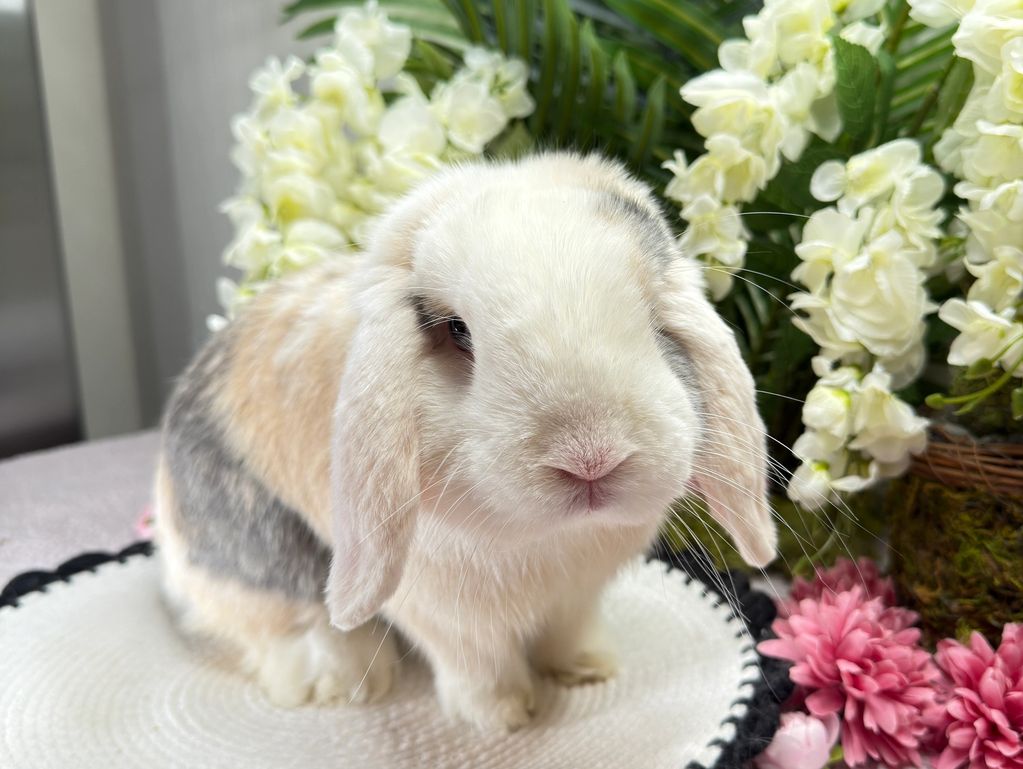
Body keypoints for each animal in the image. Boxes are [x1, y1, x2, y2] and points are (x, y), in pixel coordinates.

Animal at [154, 151, 777, 732]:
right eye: (457, 330)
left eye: (650, 316)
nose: (590, 458)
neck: (551, 539)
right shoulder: (447, 618)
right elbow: (480, 665)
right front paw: (503, 717)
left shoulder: (576, 598)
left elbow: (567, 634)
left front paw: (588, 670)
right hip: (259, 557)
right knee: (287, 623)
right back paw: (341, 682)